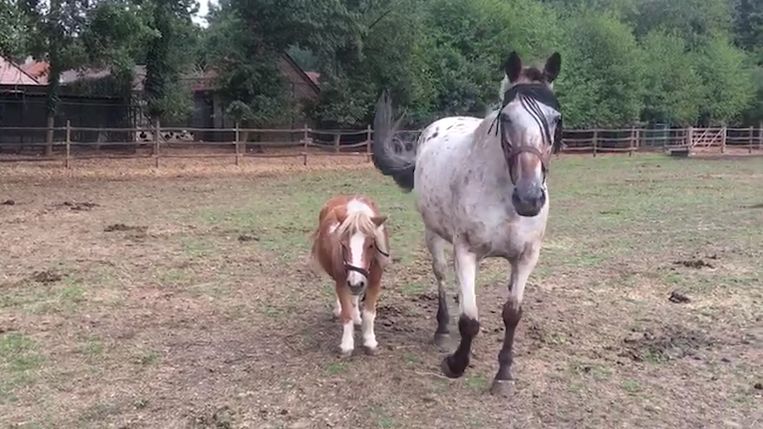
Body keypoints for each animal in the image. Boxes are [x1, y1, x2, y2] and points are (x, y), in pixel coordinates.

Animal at [312, 194, 390, 354]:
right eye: (343, 245)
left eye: (371, 245)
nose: (355, 282)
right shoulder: (343, 282)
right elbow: (346, 313)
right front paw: (347, 344)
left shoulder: (374, 282)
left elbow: (369, 313)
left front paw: (370, 341)